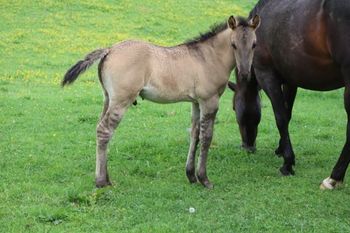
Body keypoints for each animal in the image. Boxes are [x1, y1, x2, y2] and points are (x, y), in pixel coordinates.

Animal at [228, 0, 350, 189]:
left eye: (234, 107)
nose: (247, 147)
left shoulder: (267, 76)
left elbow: (281, 118)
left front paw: (287, 163)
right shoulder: (291, 80)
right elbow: (288, 113)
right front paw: (281, 149)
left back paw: (334, 177)